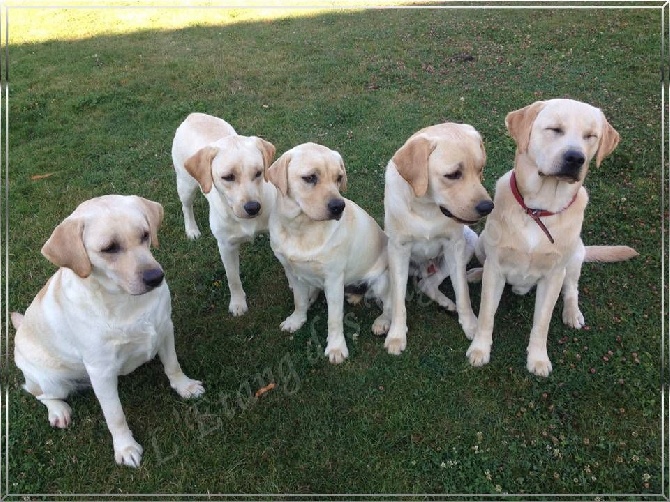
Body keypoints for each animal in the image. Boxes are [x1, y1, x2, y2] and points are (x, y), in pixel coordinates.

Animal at [11, 195, 205, 466]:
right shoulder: (101, 371)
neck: (125, 301)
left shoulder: (165, 328)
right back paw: (58, 411)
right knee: (38, 393)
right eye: (109, 248)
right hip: (52, 381)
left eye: (145, 235)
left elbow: (173, 365)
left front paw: (184, 386)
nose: (156, 277)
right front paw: (125, 448)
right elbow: (115, 415)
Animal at [175, 112, 280, 316]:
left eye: (258, 172)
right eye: (228, 177)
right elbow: (233, 278)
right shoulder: (226, 246)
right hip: (186, 185)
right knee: (186, 207)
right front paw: (238, 303)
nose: (253, 207)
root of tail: (194, 115)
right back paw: (191, 229)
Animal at [266, 143, 394, 362]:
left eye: (338, 178)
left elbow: (334, 319)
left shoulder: (333, 279)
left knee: (389, 306)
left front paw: (336, 348)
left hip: (382, 281)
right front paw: (296, 320)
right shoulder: (293, 272)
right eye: (310, 177)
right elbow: (299, 301)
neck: (300, 229)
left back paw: (381, 322)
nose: (338, 206)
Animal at [384, 123, 494, 354]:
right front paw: (396, 334)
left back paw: (446, 303)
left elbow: (462, 292)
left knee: (427, 284)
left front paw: (471, 325)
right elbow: (398, 299)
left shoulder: (455, 246)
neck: (427, 208)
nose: (487, 207)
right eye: (453, 175)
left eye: (480, 168)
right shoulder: (398, 249)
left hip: (469, 242)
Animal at [468, 100, 640, 376]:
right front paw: (479, 349)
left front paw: (538, 358)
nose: (575, 158)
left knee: (571, 288)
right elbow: (486, 314)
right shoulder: (495, 269)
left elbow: (542, 322)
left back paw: (572, 313)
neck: (539, 209)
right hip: (482, 242)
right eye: (555, 129)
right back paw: (474, 273)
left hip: (576, 255)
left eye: (590, 136)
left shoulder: (552, 276)